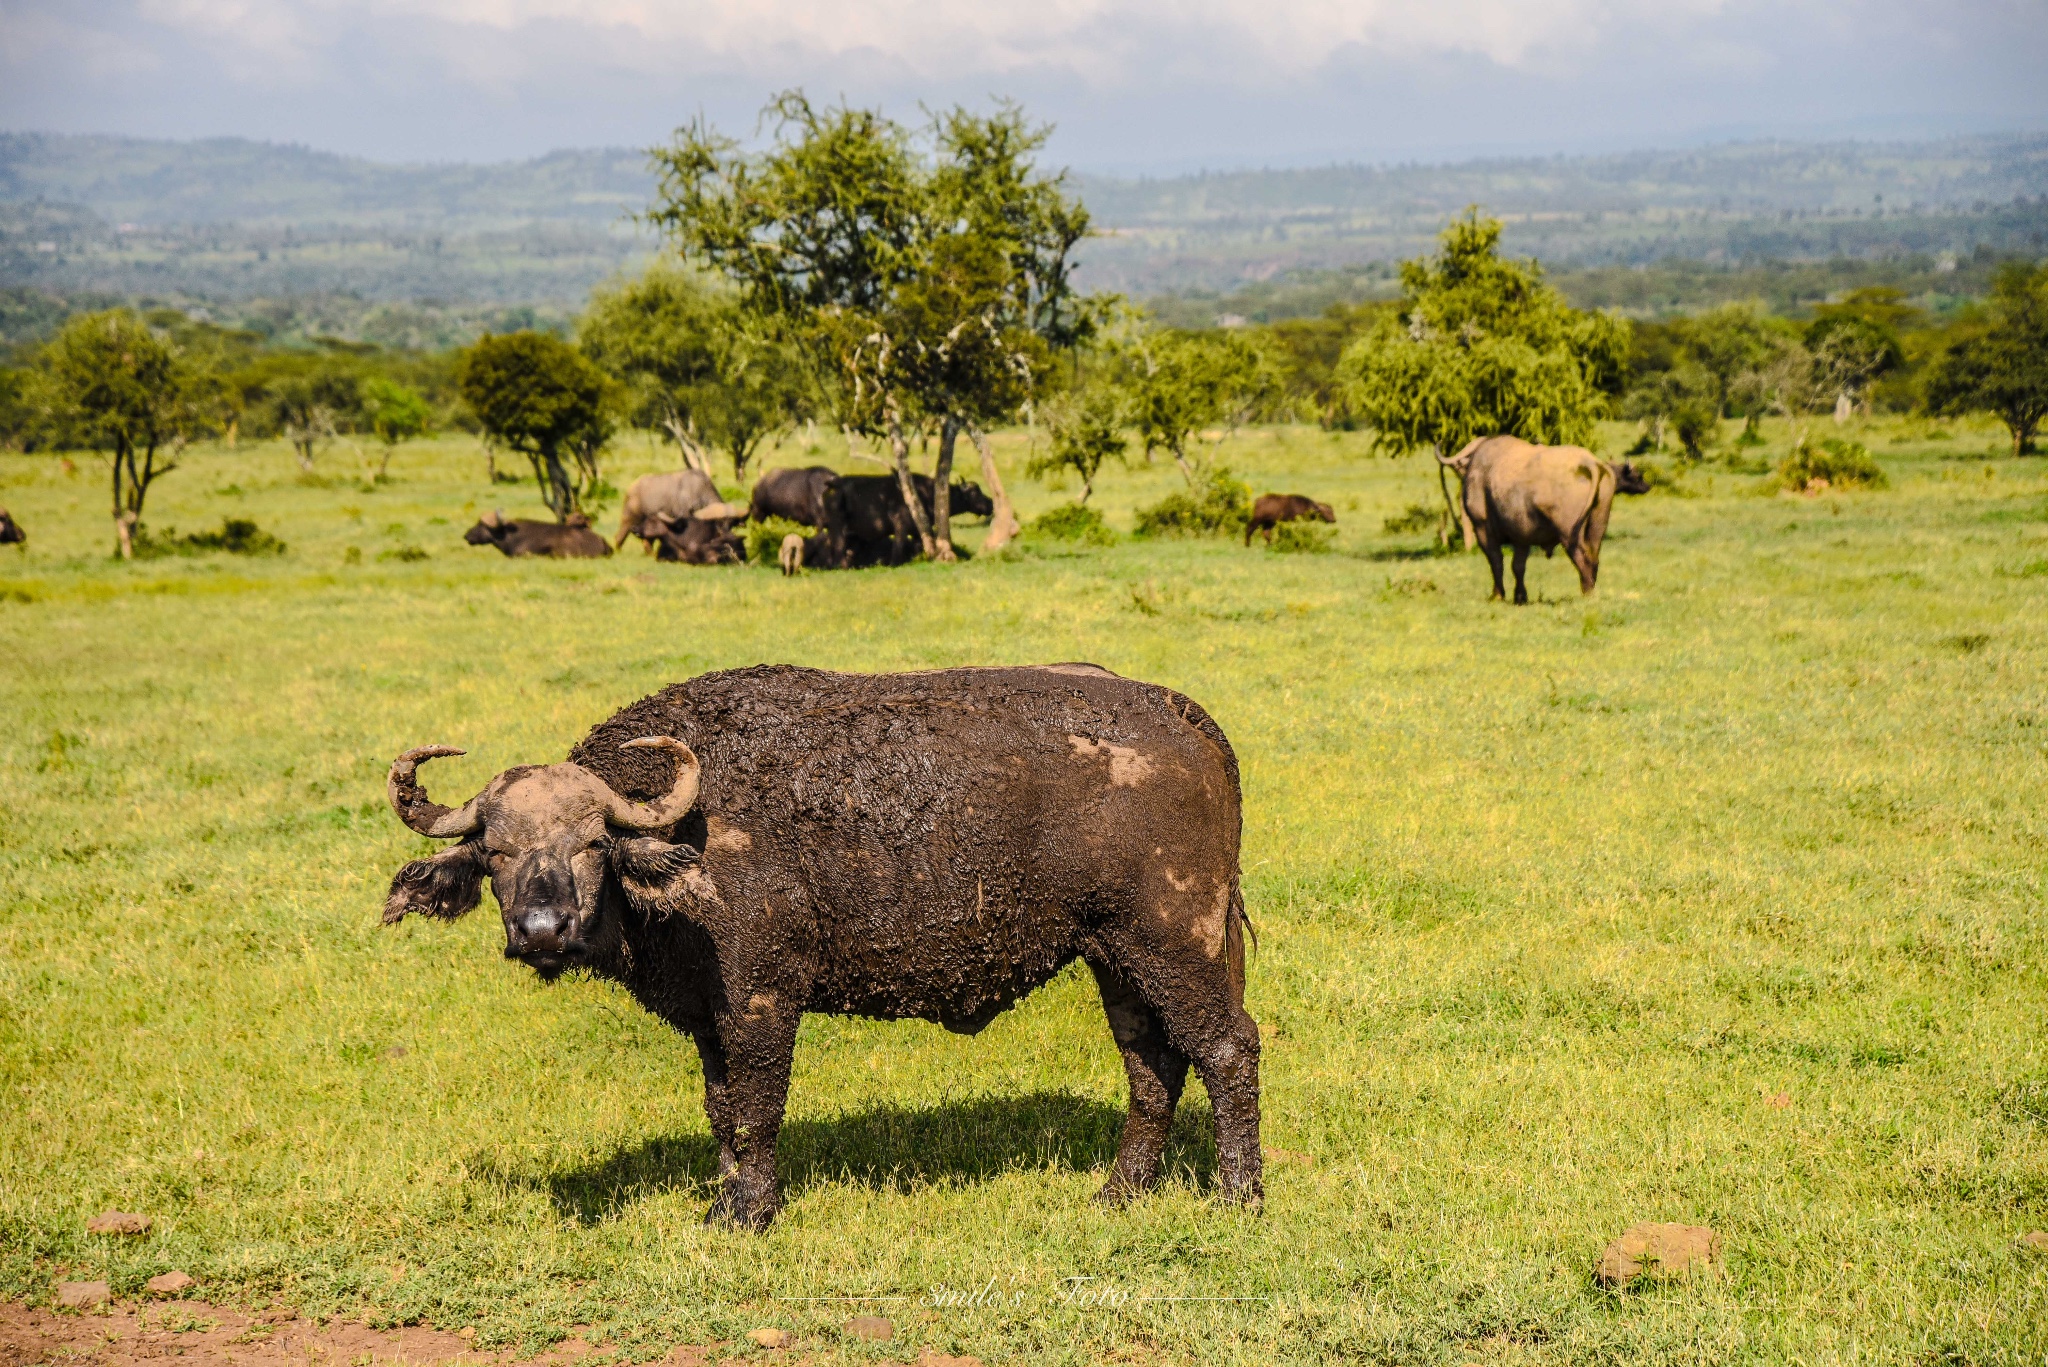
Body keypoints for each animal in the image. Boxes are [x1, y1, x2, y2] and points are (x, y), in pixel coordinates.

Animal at [376, 668, 1253, 1237]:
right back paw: (1119, 1192)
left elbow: (759, 1108)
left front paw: (751, 1213)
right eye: (495, 851)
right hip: (1113, 954)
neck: (692, 839)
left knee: (1226, 1048)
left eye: (591, 842)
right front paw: (724, 1198)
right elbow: (721, 1109)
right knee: (1152, 1065)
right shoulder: (709, 1016)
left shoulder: (763, 999)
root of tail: (1181, 714)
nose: (541, 929)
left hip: (1174, 940)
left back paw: (1239, 1195)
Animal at [1441, 436, 1630, 602]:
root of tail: (1589, 462)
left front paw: (1497, 595)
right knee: (1593, 557)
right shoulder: (1521, 536)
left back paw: (1587, 594)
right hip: (1597, 526)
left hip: (1569, 533)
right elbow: (1518, 566)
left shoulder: (1483, 528)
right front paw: (1520, 596)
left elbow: (1496, 561)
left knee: (1582, 557)